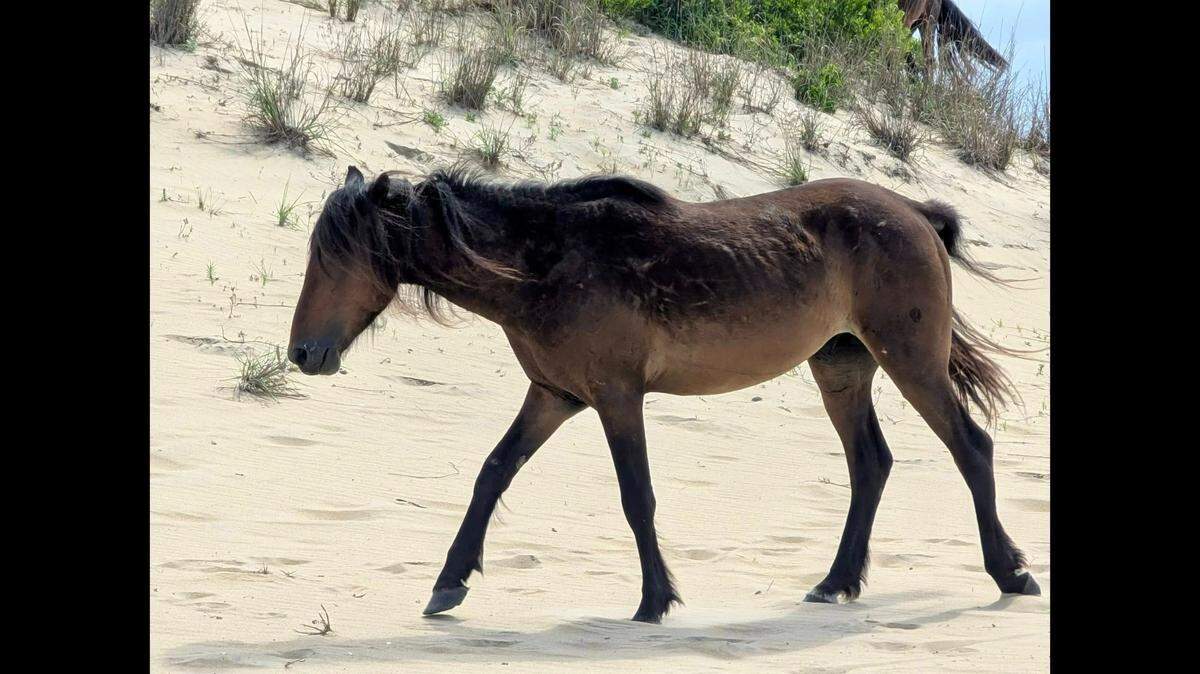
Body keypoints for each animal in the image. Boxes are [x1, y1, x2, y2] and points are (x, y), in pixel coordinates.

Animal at [287, 165, 1041, 623]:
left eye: (335, 256)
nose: (302, 354)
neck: (546, 262)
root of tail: (913, 210)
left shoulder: (617, 398)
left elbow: (636, 498)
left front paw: (655, 599)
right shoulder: (553, 395)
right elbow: (492, 473)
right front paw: (449, 582)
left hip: (912, 361)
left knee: (971, 447)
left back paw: (1010, 573)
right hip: (842, 369)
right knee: (871, 466)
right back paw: (836, 582)